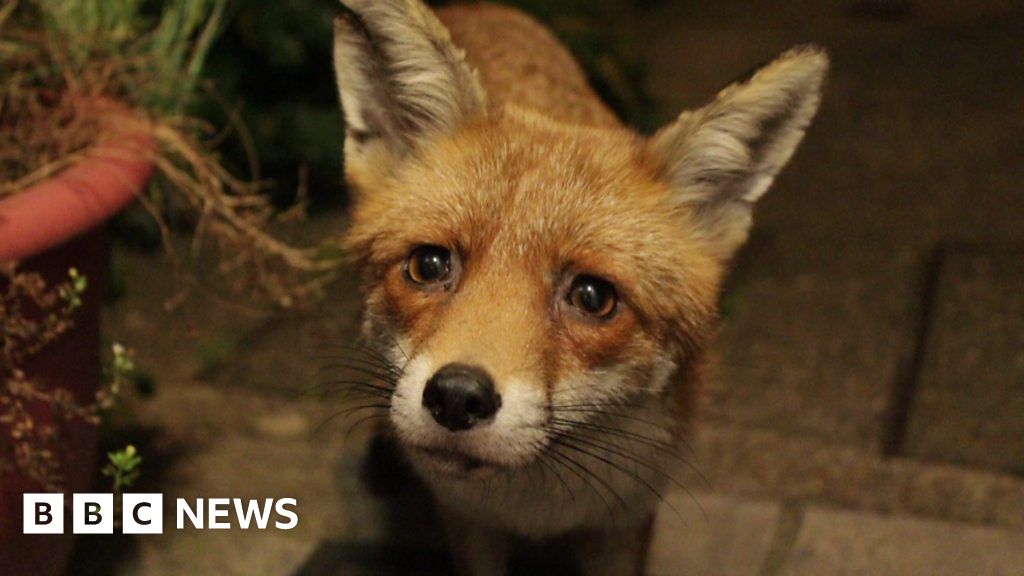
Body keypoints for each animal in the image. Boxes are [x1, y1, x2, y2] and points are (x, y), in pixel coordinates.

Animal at [331, 2, 827, 569]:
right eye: (429, 265)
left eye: (592, 297)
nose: (456, 397)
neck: (535, 508)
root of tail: (479, 7)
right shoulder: (467, 521)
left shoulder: (626, 523)